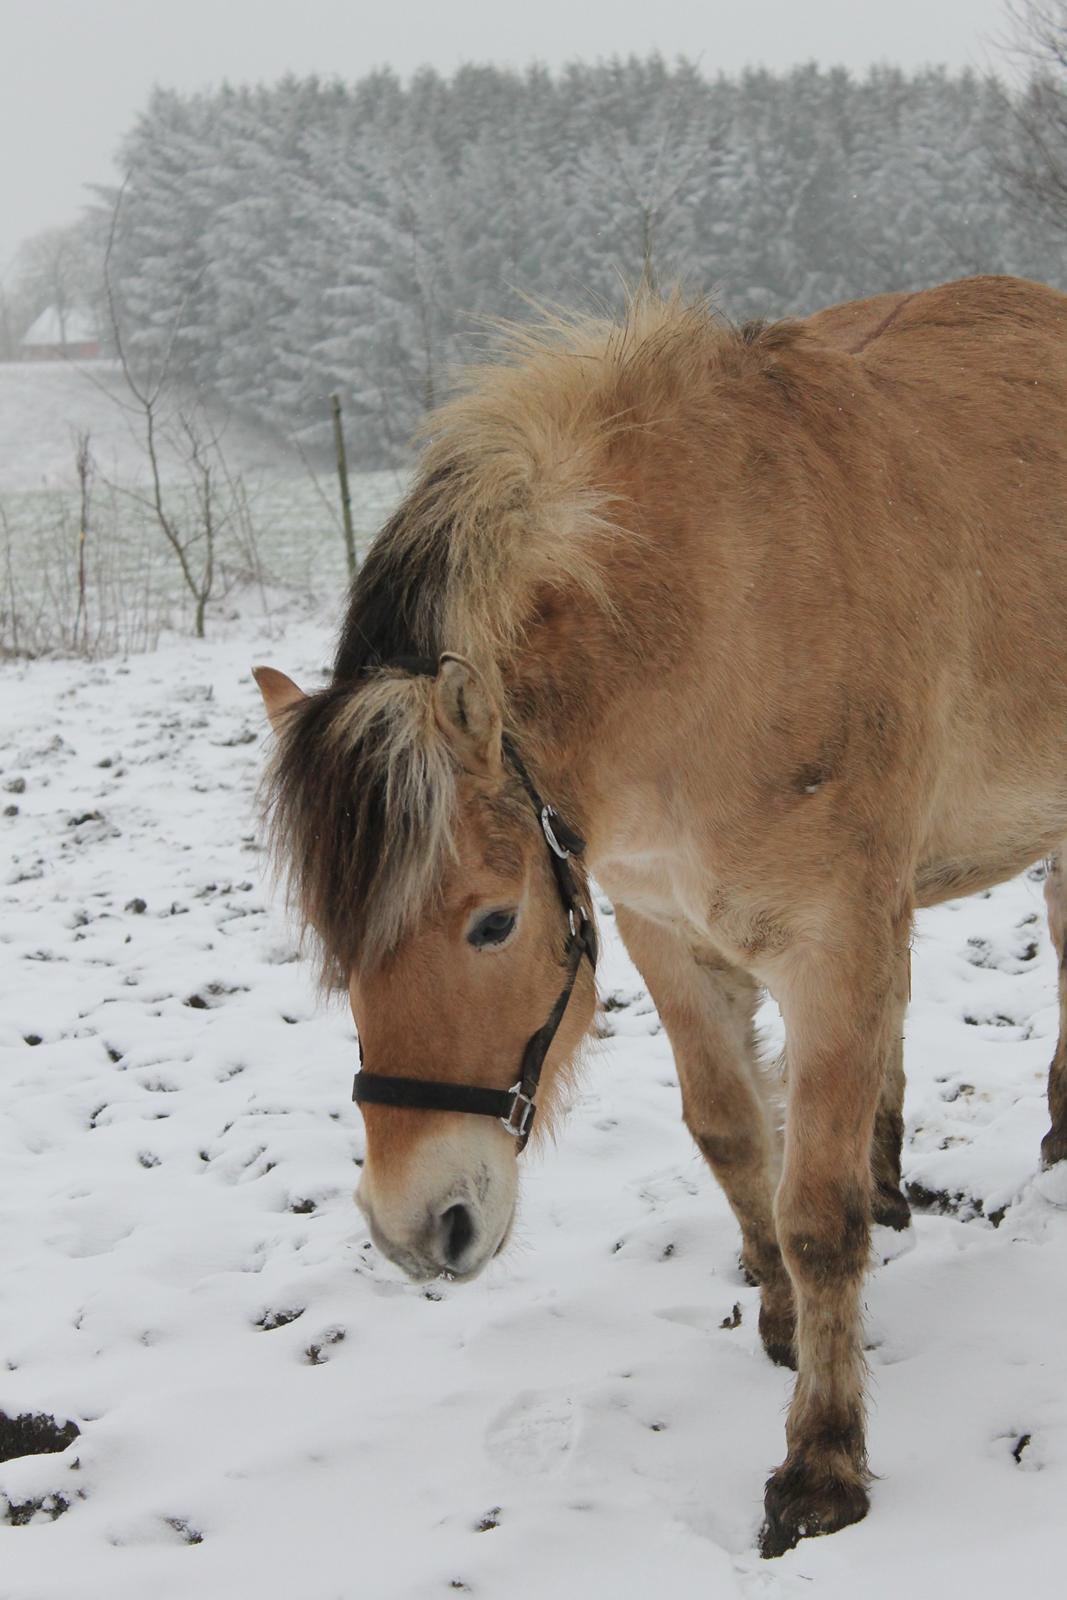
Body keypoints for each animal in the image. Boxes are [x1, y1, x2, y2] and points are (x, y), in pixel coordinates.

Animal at [254, 278, 1067, 1561]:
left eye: (491, 925)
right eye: (337, 949)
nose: (413, 1228)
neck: (705, 618)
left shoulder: (829, 941)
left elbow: (815, 1210)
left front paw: (821, 1459)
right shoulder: (662, 930)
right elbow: (733, 1139)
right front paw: (783, 1320)